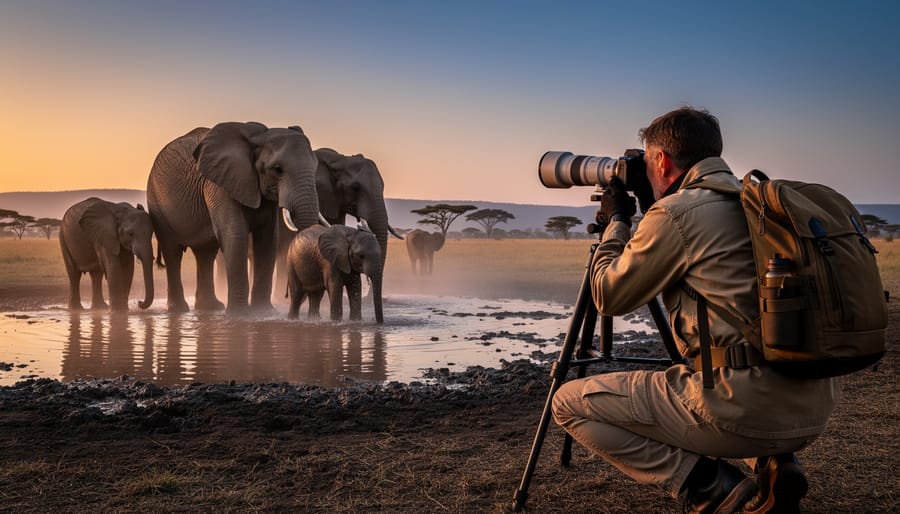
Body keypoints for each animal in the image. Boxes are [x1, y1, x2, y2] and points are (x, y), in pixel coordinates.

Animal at [147, 122, 321, 314]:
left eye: (315, 167)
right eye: (277, 169)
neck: (258, 137)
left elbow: (268, 240)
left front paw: (263, 312)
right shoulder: (219, 184)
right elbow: (235, 235)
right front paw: (240, 315)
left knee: (205, 254)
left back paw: (210, 307)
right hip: (157, 203)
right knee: (172, 252)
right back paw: (179, 310)